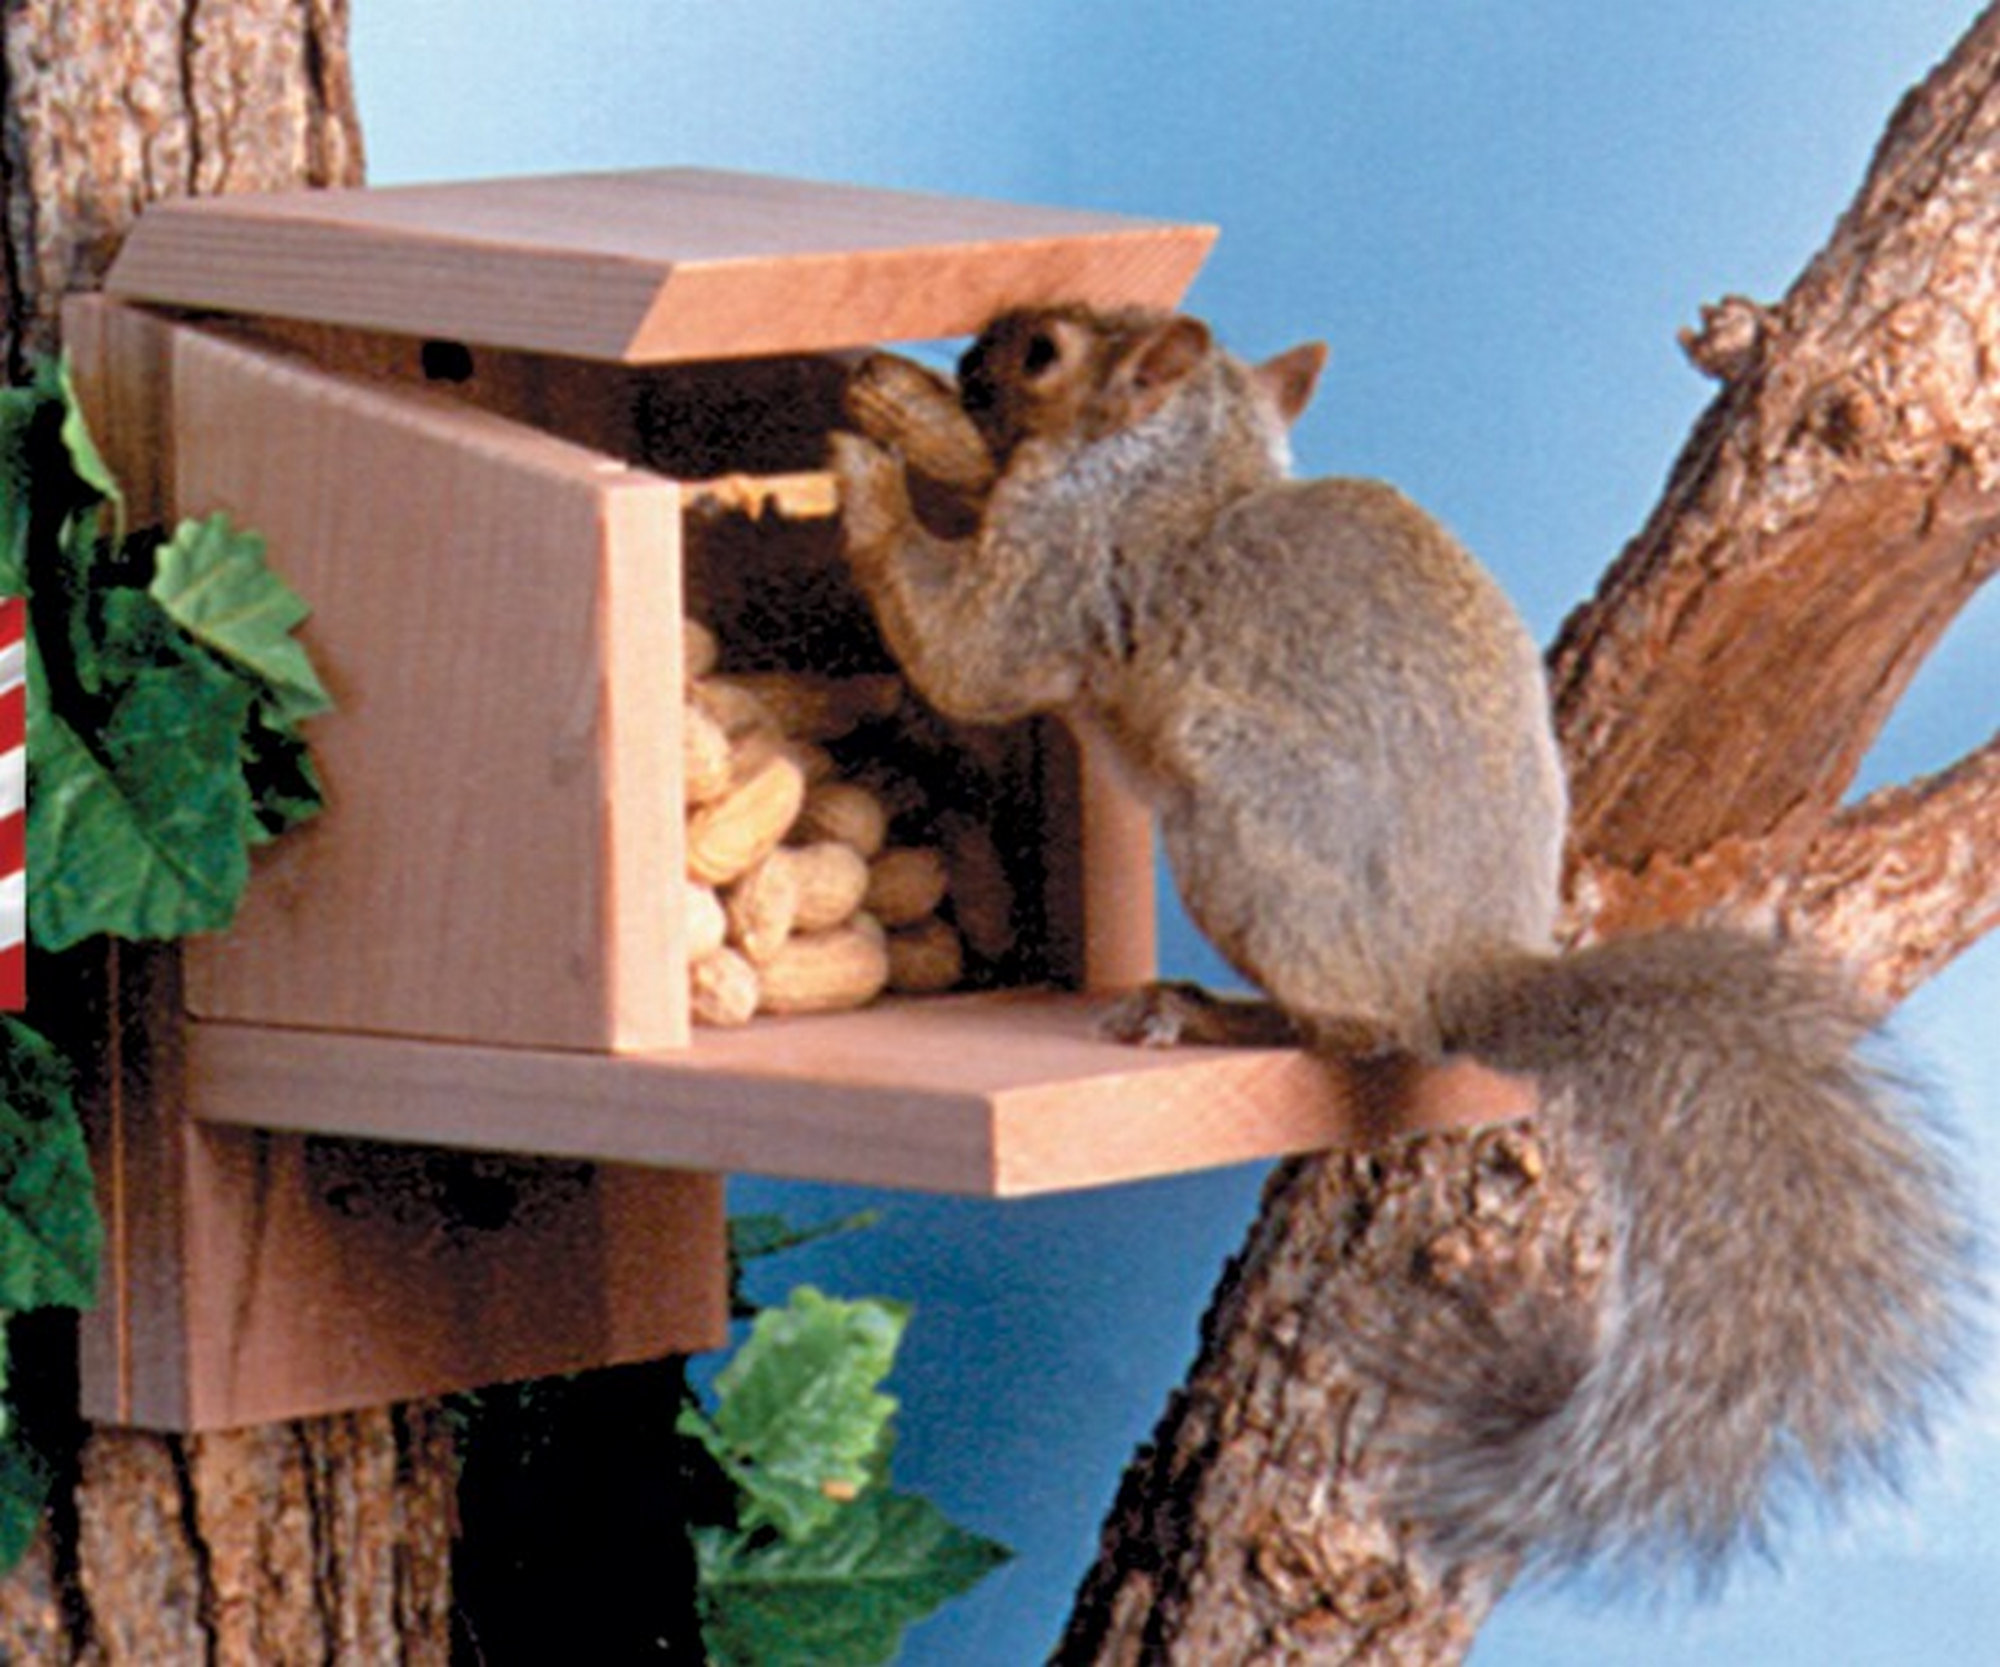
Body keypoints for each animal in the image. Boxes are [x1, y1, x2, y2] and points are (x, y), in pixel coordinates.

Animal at [828, 303, 1980, 1585]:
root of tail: (1461, 968)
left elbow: (969, 654)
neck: (1176, 462)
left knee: (1352, 1028)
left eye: (1042, 354)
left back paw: (1211, 1009)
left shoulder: (1064, 555)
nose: (970, 355)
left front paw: (867, 475)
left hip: (1236, 825)